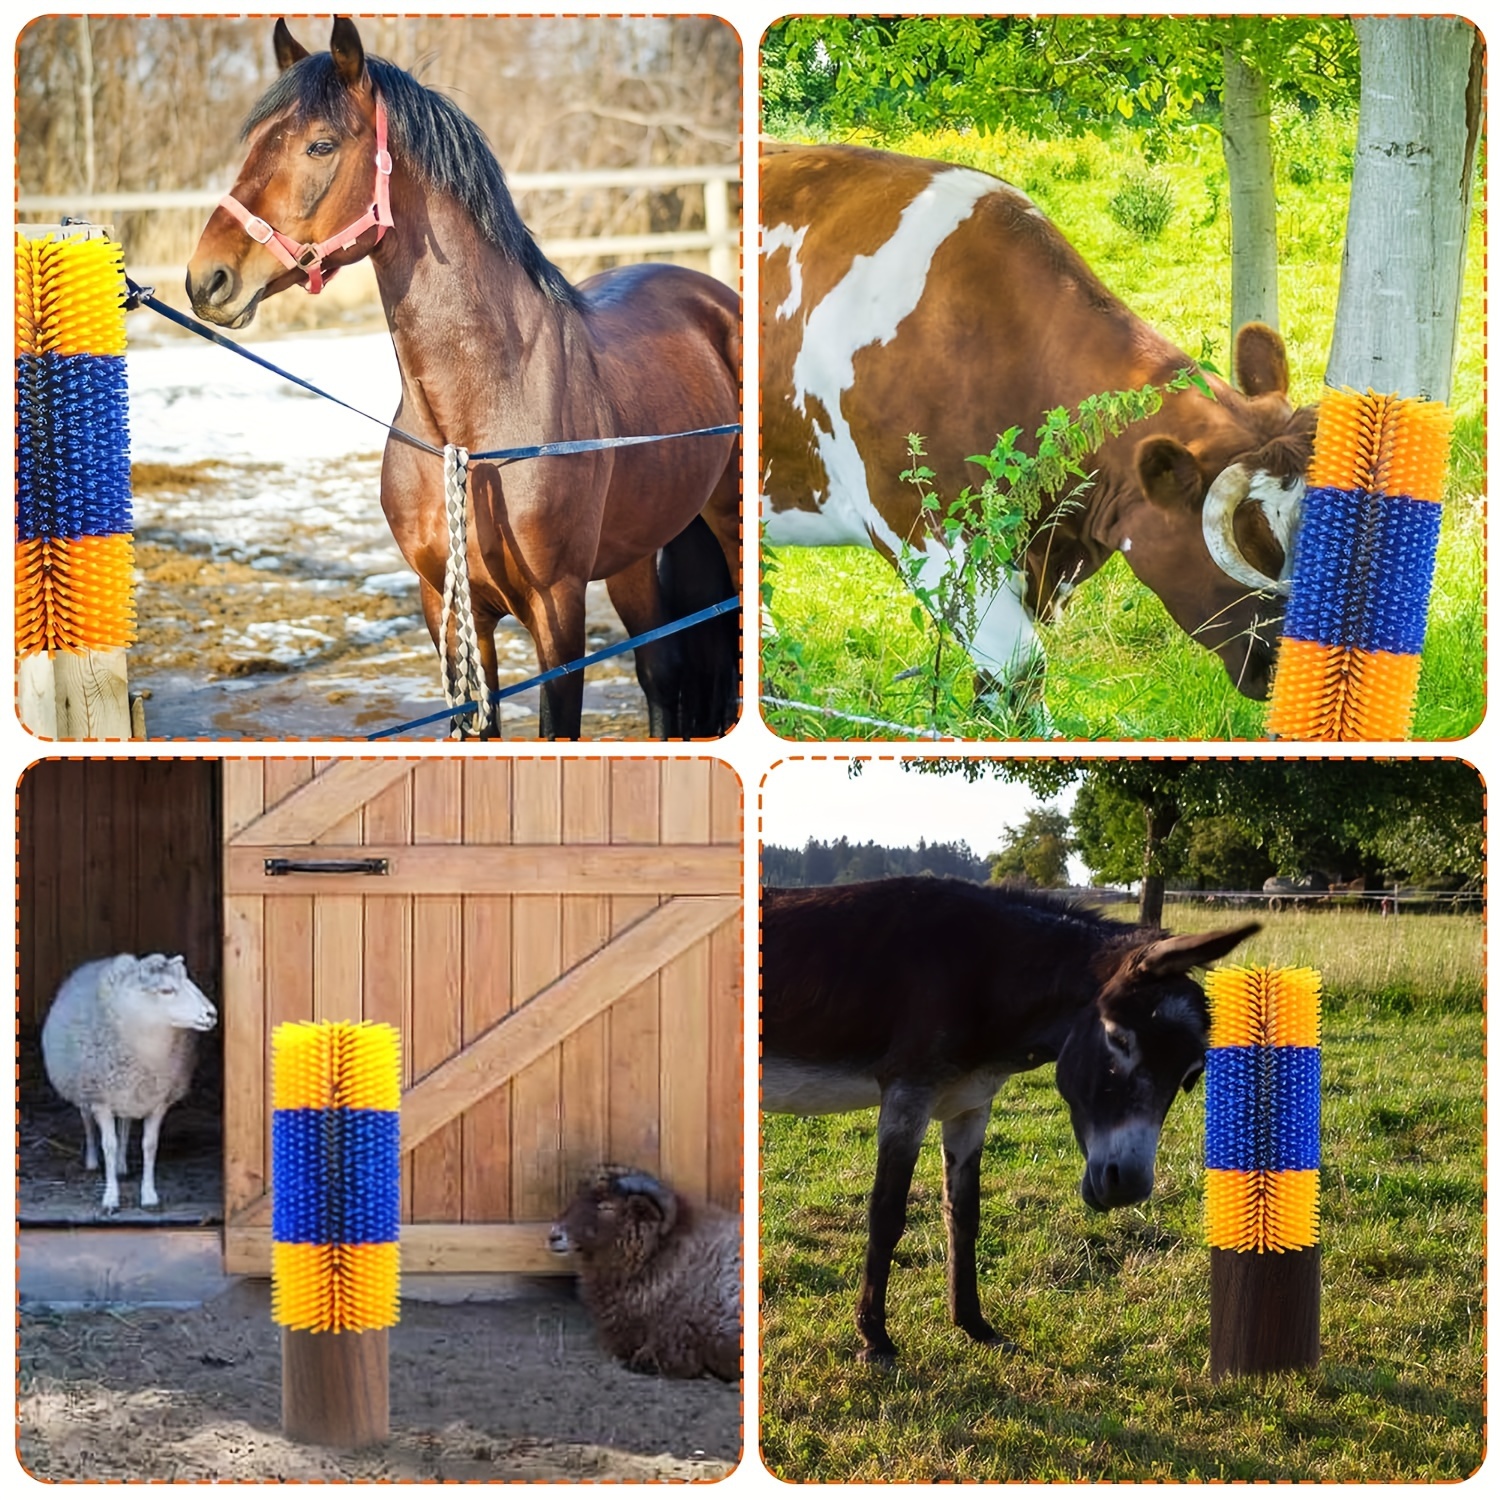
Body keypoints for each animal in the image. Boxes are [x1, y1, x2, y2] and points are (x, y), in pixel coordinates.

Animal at [186, 17, 740, 738]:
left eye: (320, 144)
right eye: (253, 143)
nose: (207, 280)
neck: (472, 427)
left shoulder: (557, 611)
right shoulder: (448, 610)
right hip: (637, 553)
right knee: (661, 672)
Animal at [761, 876, 1258, 1364]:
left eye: (1191, 1076)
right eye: (1119, 1039)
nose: (1127, 1189)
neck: (987, 972)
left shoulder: (969, 1105)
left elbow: (963, 1214)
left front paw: (973, 1325)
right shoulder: (908, 1093)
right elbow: (886, 1214)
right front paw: (874, 1337)